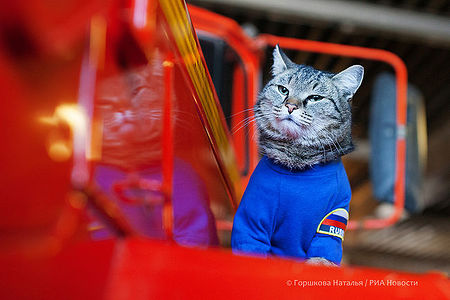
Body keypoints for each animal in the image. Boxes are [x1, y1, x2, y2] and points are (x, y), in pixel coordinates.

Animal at [230, 45, 364, 266]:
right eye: (283, 90)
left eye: (315, 98)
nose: (291, 106)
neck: (297, 158)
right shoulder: (253, 220)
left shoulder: (332, 223)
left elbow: (321, 260)